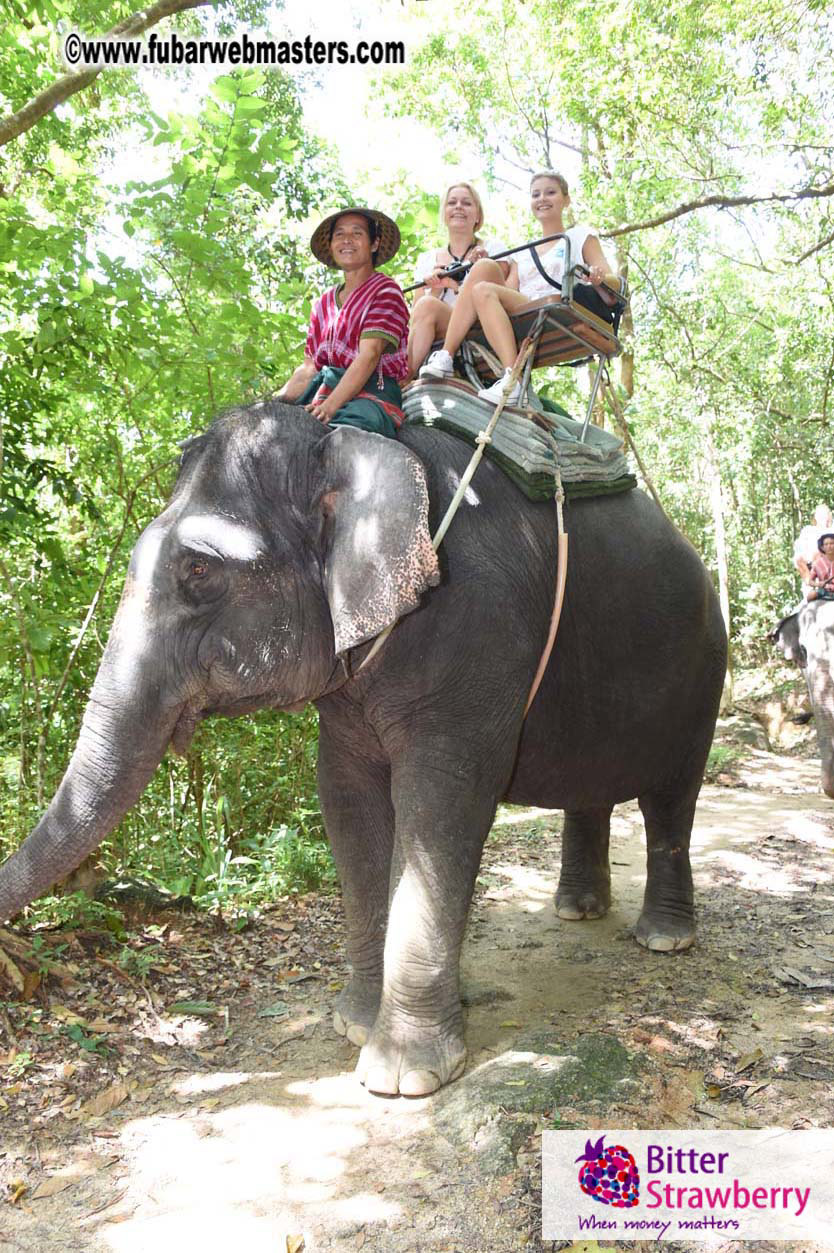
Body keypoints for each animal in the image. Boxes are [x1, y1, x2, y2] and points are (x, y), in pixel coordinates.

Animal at [0, 403, 727, 1096]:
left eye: (199, 570)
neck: (353, 441)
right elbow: (346, 804)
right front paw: (352, 1022)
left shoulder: (477, 632)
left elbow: (439, 805)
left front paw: (402, 1075)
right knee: (591, 789)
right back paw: (577, 910)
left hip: (704, 671)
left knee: (672, 798)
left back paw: (664, 937)